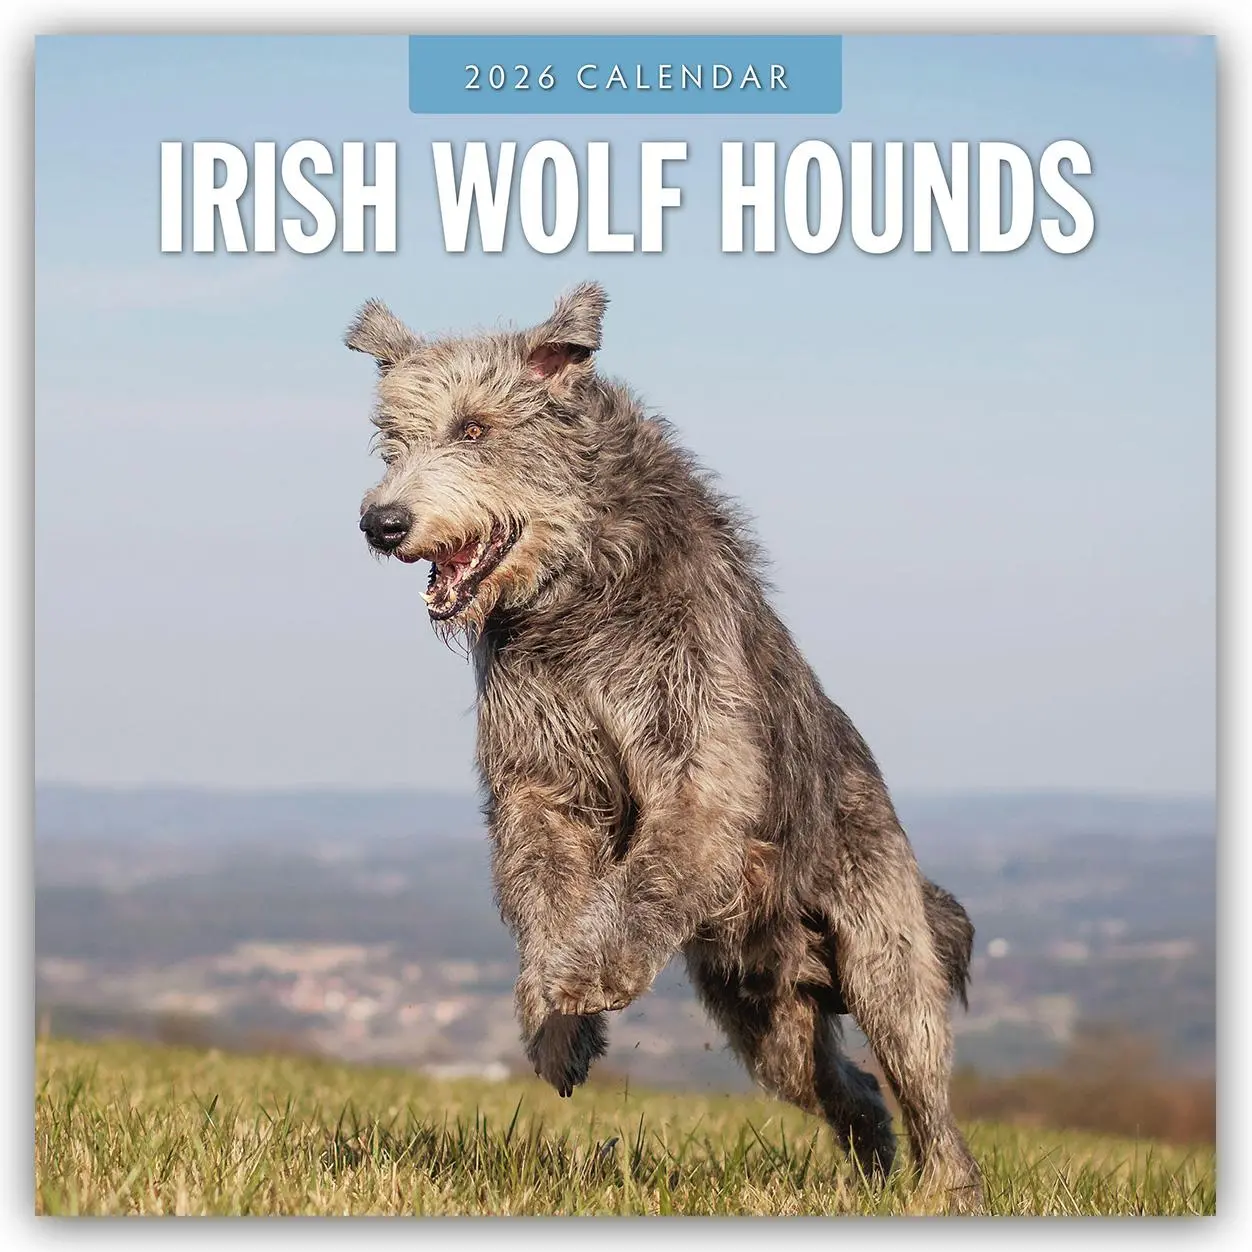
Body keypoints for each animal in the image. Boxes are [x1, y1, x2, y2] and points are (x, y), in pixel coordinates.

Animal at [347, 283, 983, 1207]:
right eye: (392, 441)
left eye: (474, 429)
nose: (382, 522)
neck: (576, 598)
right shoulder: (540, 779)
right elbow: (543, 894)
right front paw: (556, 1029)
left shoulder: (696, 762)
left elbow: (651, 874)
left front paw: (588, 977)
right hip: (765, 1016)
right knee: (851, 1088)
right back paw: (868, 1172)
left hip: (882, 958)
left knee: (926, 1092)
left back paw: (944, 1191)